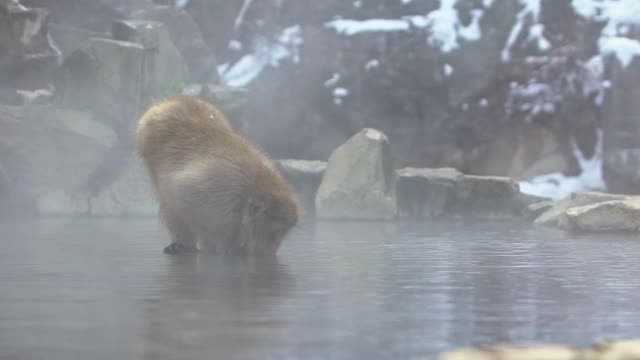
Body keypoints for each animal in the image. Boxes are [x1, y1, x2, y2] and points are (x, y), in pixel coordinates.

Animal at [136, 95, 300, 256]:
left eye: (284, 232)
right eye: (277, 232)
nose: (275, 247)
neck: (252, 189)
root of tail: (172, 100)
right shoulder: (215, 188)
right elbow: (180, 197)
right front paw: (218, 245)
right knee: (168, 198)